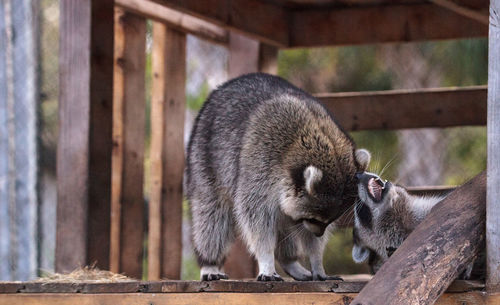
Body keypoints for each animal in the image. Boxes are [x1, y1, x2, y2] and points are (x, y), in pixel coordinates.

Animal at [186, 73, 370, 280]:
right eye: (314, 219)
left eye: (328, 220)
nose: (318, 234)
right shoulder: (258, 168)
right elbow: (257, 221)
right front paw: (266, 260)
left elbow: (300, 231)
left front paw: (316, 260)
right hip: (204, 160)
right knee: (212, 217)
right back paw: (209, 262)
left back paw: (289, 260)